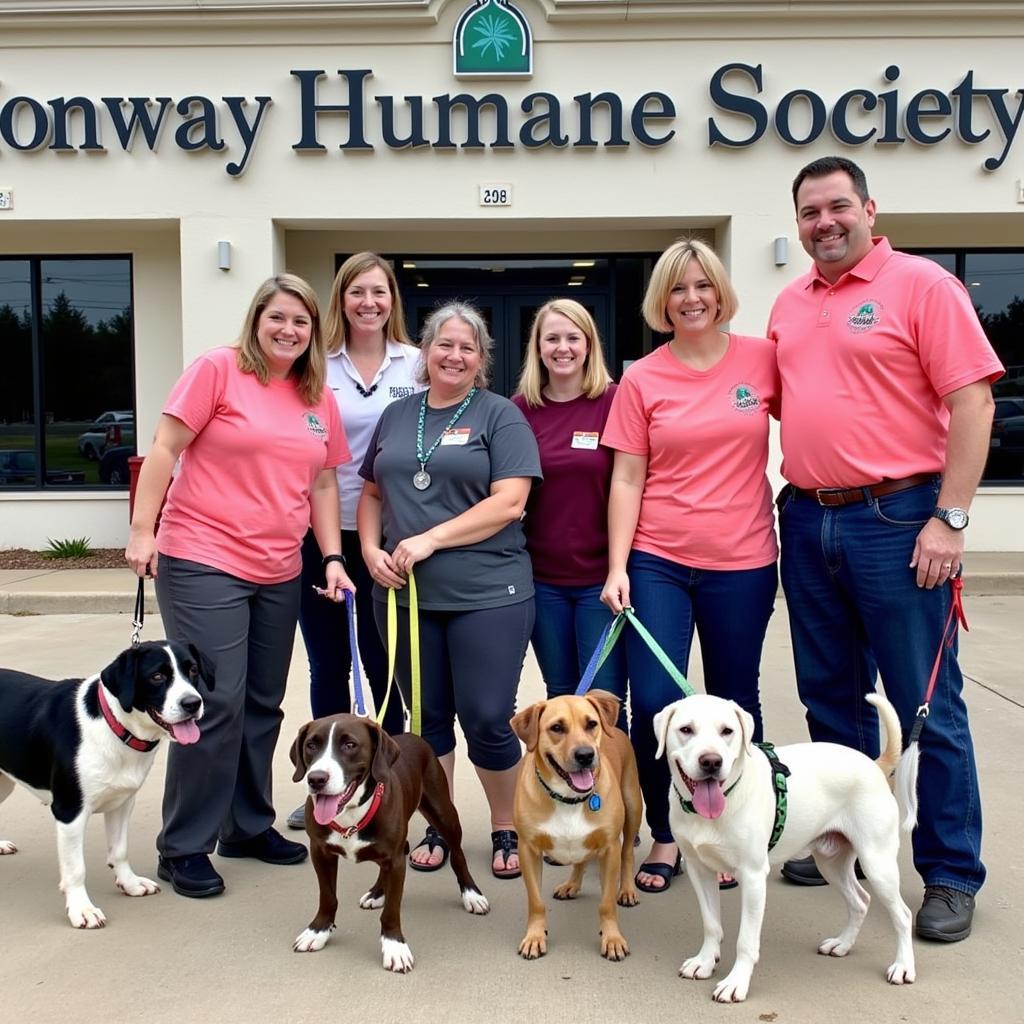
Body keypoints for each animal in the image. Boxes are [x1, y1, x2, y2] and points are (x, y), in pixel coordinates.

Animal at [0, 638, 209, 929]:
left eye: (192, 671)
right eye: (156, 676)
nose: (192, 703)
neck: (115, 727)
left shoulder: (122, 802)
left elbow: (119, 850)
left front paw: (130, 884)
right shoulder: (70, 811)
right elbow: (76, 869)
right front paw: (82, 909)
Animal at [286, 716, 489, 970]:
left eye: (350, 745)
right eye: (311, 745)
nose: (316, 779)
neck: (350, 814)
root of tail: (413, 736)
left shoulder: (396, 862)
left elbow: (392, 910)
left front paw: (394, 946)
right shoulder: (320, 852)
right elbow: (327, 896)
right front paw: (318, 930)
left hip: (443, 813)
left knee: (458, 855)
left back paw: (471, 894)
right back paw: (377, 893)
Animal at [509, 692, 638, 962]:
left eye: (591, 724)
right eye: (557, 728)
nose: (585, 755)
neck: (569, 797)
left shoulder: (610, 850)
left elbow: (606, 903)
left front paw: (612, 938)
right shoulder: (528, 850)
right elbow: (536, 902)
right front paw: (535, 936)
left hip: (633, 807)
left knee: (628, 852)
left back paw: (627, 889)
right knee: (580, 860)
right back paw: (572, 885)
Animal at [655, 692, 921, 1003]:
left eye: (727, 731)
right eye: (686, 730)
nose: (711, 762)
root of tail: (874, 765)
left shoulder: (753, 877)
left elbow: (746, 940)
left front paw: (736, 982)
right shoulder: (700, 871)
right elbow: (711, 924)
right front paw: (705, 962)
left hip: (877, 863)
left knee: (902, 915)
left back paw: (903, 966)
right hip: (831, 864)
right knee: (860, 901)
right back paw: (842, 944)